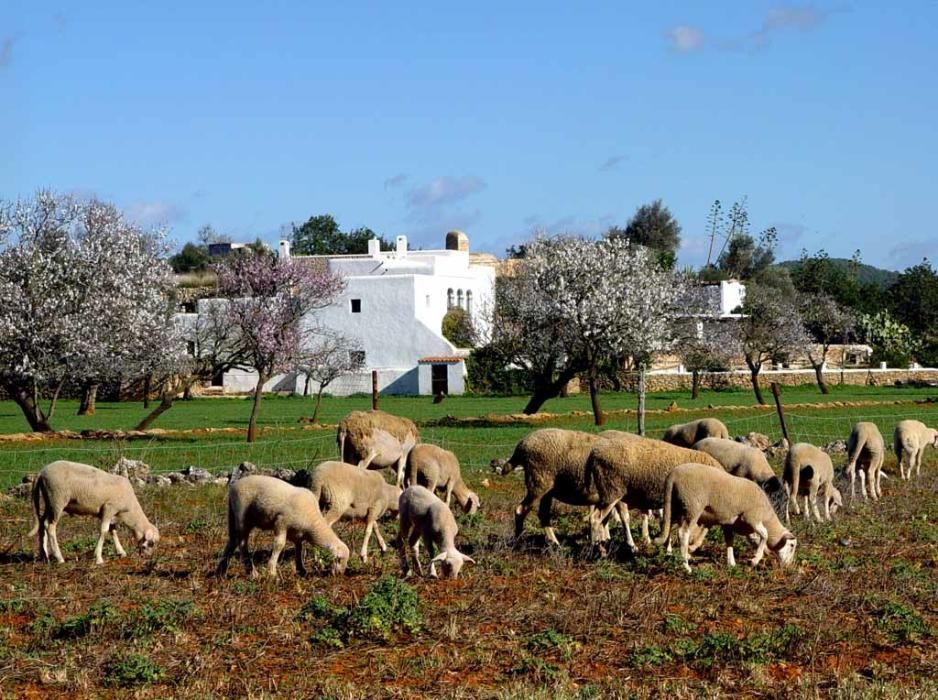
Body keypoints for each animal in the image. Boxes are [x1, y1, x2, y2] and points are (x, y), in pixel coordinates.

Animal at [29, 462, 160, 568]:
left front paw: (121, 552)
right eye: (151, 543)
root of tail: (41, 473)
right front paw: (98, 558)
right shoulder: (109, 508)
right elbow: (104, 531)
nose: (148, 556)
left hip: (49, 502)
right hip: (57, 500)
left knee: (42, 522)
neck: (130, 510)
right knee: (50, 526)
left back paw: (44, 556)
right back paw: (59, 558)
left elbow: (113, 531)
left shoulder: (112, 514)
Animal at [217, 476, 352, 580]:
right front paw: (272, 572)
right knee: (242, 544)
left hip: (233, 516)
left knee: (232, 541)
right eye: (339, 559)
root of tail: (233, 487)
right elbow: (279, 545)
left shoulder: (297, 534)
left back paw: (221, 571)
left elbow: (299, 549)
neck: (313, 523)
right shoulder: (281, 523)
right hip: (242, 516)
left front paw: (301, 570)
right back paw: (252, 572)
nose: (339, 574)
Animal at [490, 426, 628, 548]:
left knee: (543, 515)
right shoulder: (617, 493)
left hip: (547, 490)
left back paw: (554, 542)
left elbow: (608, 518)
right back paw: (519, 541)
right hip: (538, 483)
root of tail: (522, 445)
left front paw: (606, 539)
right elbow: (623, 517)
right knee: (520, 509)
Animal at [584, 434, 724, 548]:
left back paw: (606, 541)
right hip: (613, 491)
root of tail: (594, 454)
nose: (692, 543)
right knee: (597, 519)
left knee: (605, 519)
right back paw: (598, 546)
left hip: (610, 493)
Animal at [652, 462, 796, 572]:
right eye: (792, 546)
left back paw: (668, 553)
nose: (789, 566)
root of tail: (673, 475)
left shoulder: (730, 524)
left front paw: (732, 563)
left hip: (676, 506)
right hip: (692, 506)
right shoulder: (751, 517)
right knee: (683, 533)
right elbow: (765, 535)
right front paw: (754, 560)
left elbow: (730, 541)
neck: (767, 516)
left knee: (667, 526)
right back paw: (686, 566)